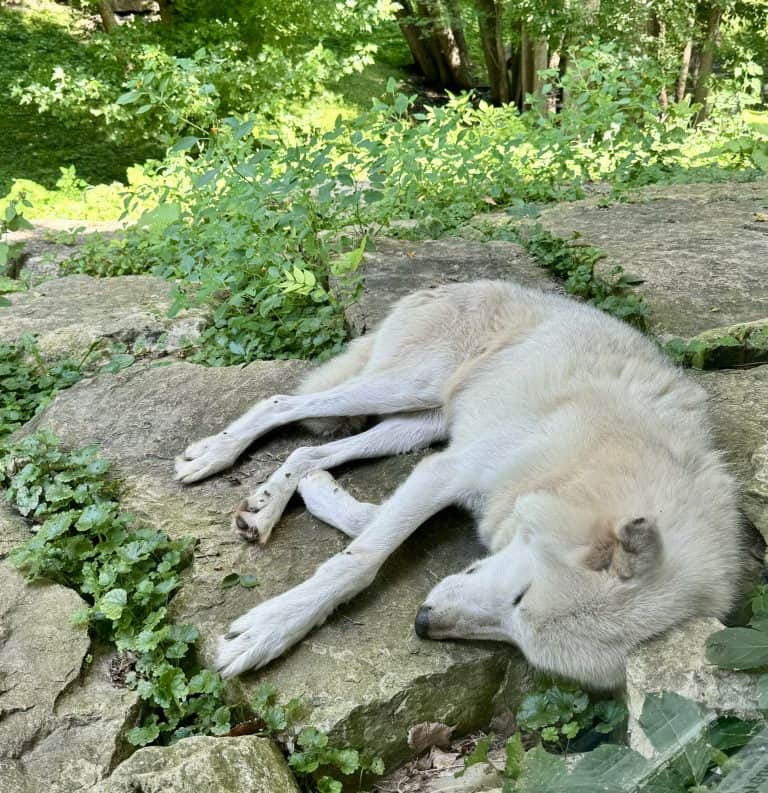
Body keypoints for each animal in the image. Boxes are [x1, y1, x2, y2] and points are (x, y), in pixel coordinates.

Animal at [172, 280, 752, 688]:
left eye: (517, 640)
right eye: (519, 598)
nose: (423, 623)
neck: (588, 466)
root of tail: (445, 283)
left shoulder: (455, 477)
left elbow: (370, 523)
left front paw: (321, 498)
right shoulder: (449, 470)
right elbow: (361, 561)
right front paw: (269, 630)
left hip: (418, 423)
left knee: (309, 450)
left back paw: (264, 507)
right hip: (406, 390)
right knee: (281, 404)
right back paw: (212, 455)